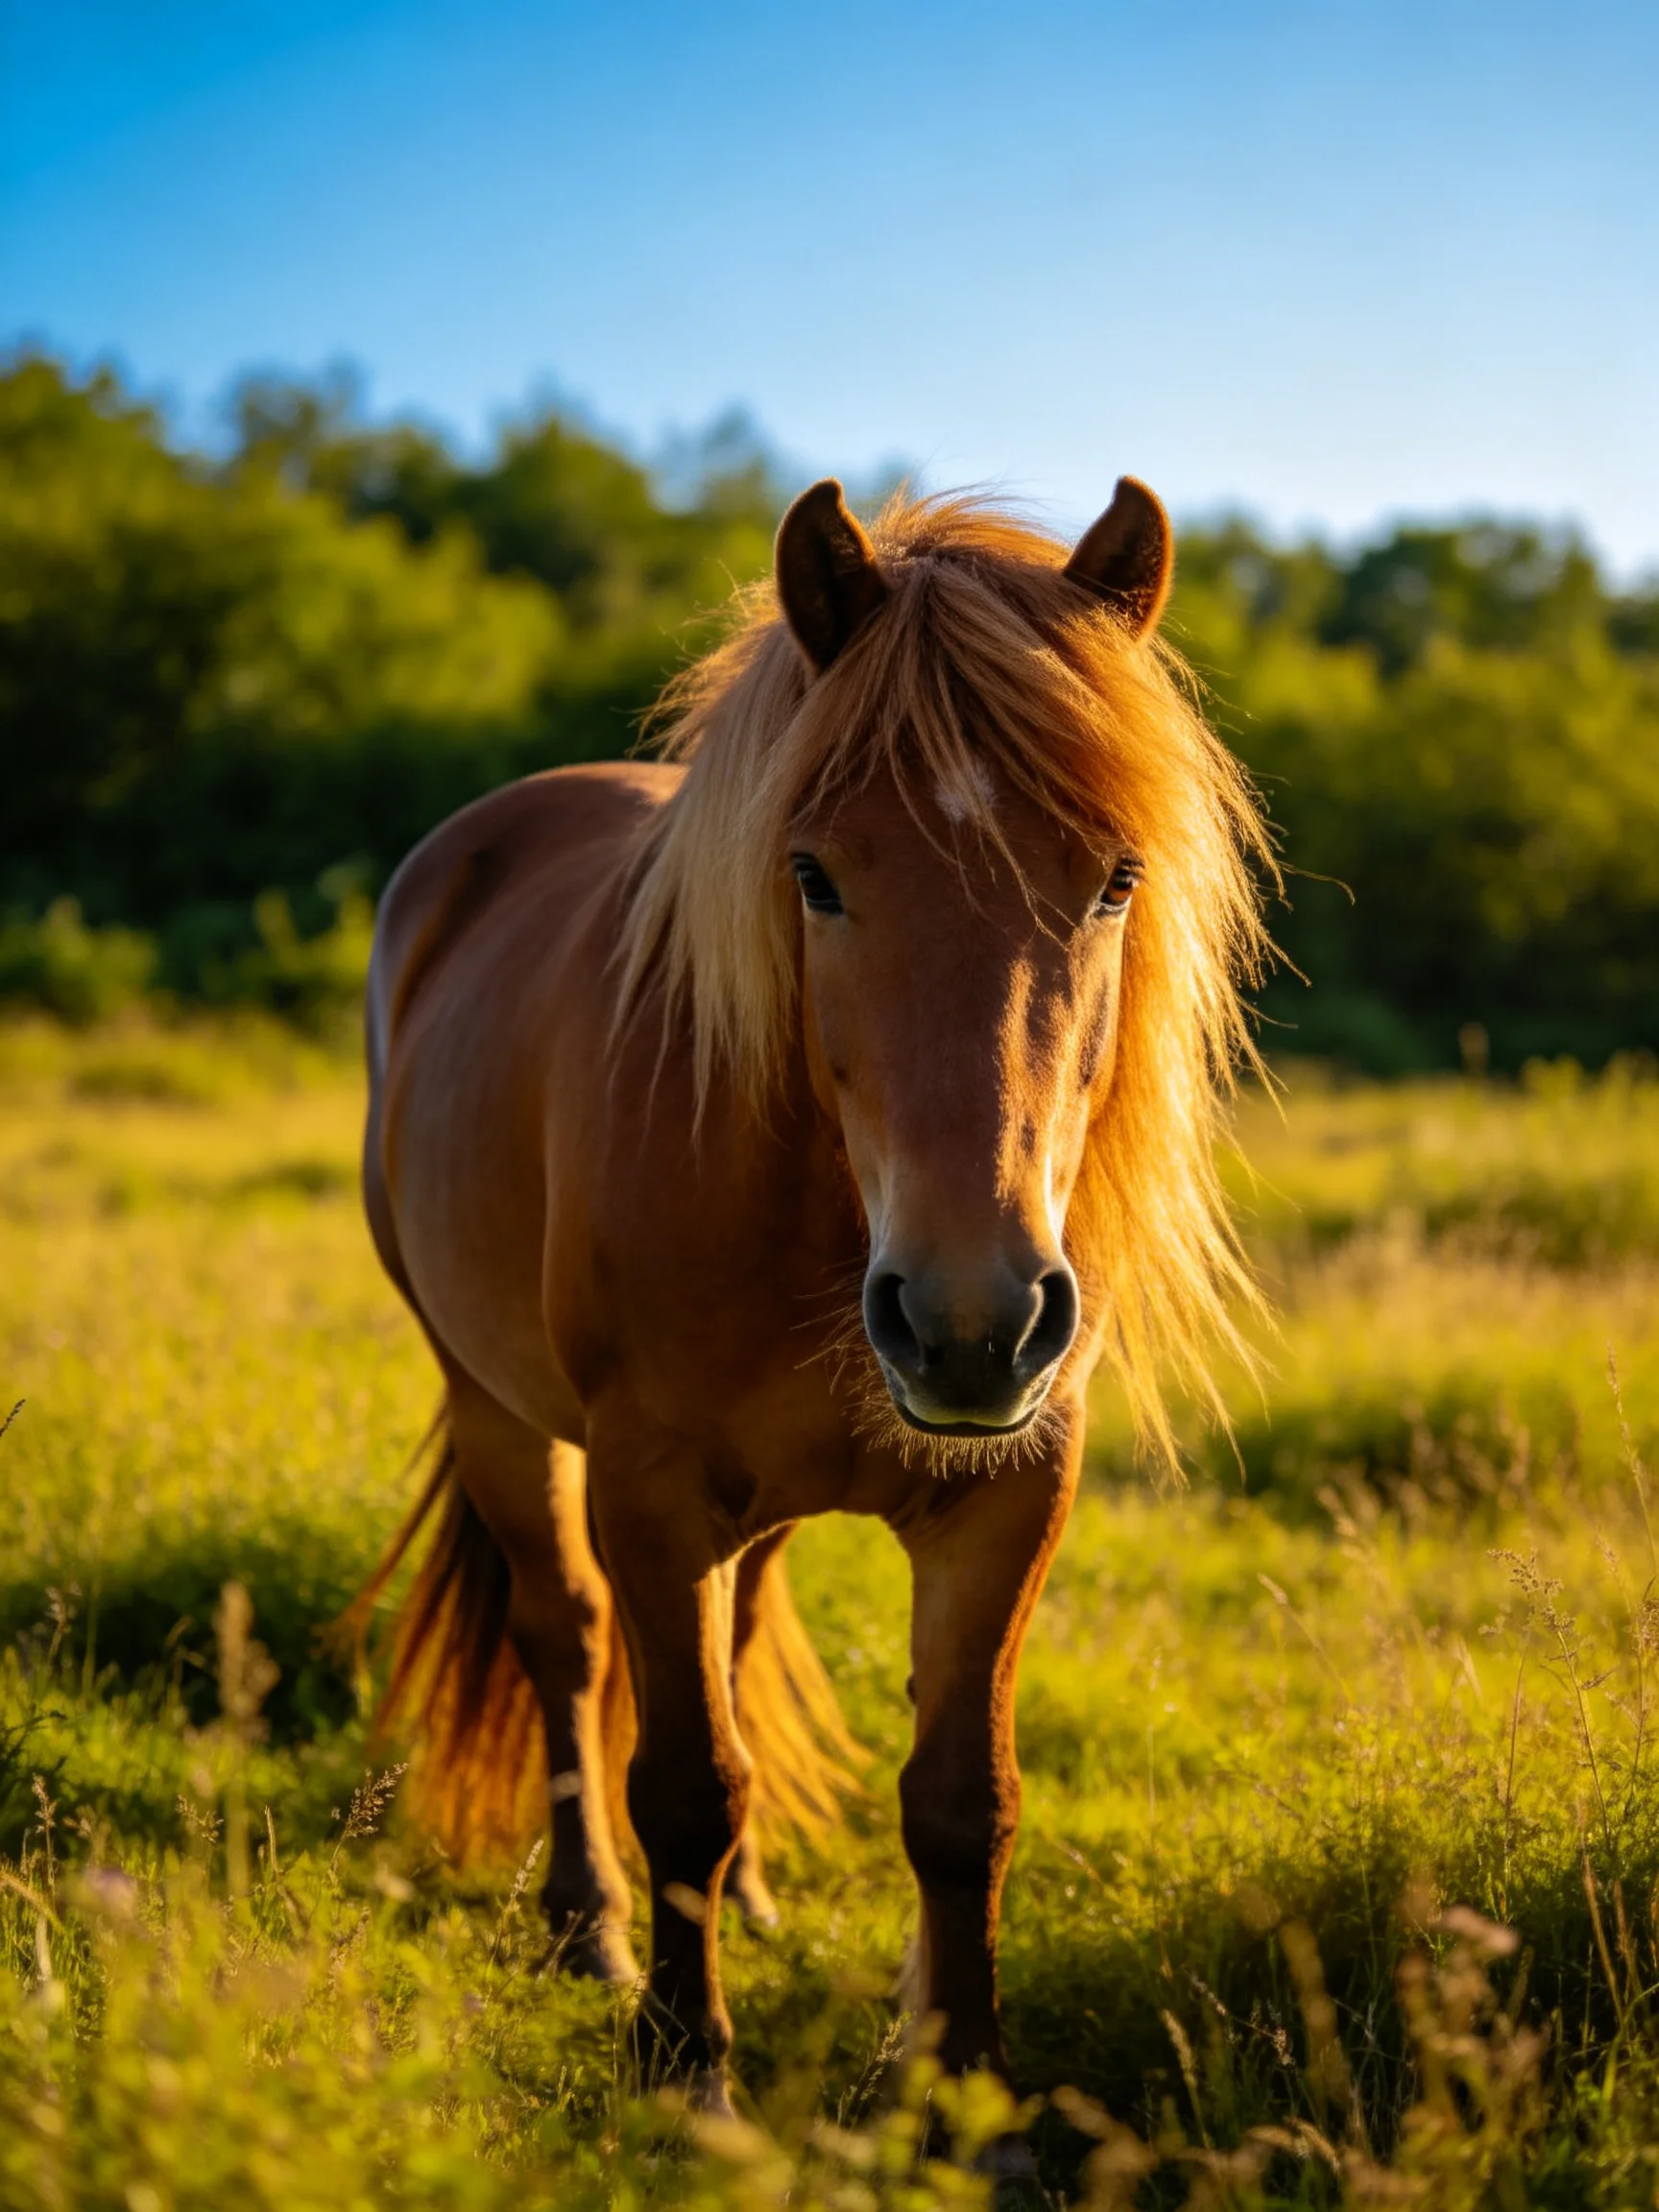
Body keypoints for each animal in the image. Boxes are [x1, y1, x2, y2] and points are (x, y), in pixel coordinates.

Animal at [356, 474, 1272, 2109]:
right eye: (814, 875)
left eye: (1115, 878)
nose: (974, 1321)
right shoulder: (650, 1486)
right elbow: (681, 1777)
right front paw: (683, 2068)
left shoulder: (1008, 1492)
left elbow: (963, 1800)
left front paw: (973, 2097)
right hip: (495, 1410)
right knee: (564, 1638)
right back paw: (591, 1929)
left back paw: (761, 1902)